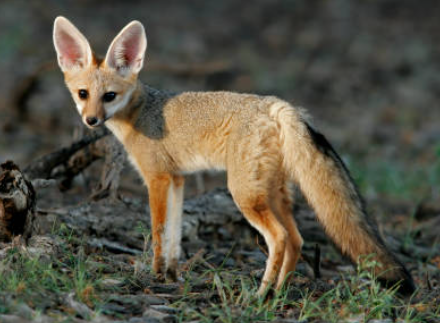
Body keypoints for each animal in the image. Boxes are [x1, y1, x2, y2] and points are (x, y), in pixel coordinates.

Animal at [53, 17, 414, 296]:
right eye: (83, 94)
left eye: (109, 96)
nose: (91, 120)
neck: (141, 111)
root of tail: (278, 104)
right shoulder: (178, 179)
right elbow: (175, 236)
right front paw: (172, 274)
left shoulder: (157, 178)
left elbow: (158, 232)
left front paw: (155, 275)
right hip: (272, 193)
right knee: (297, 239)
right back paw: (278, 292)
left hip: (244, 194)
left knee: (280, 238)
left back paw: (261, 293)